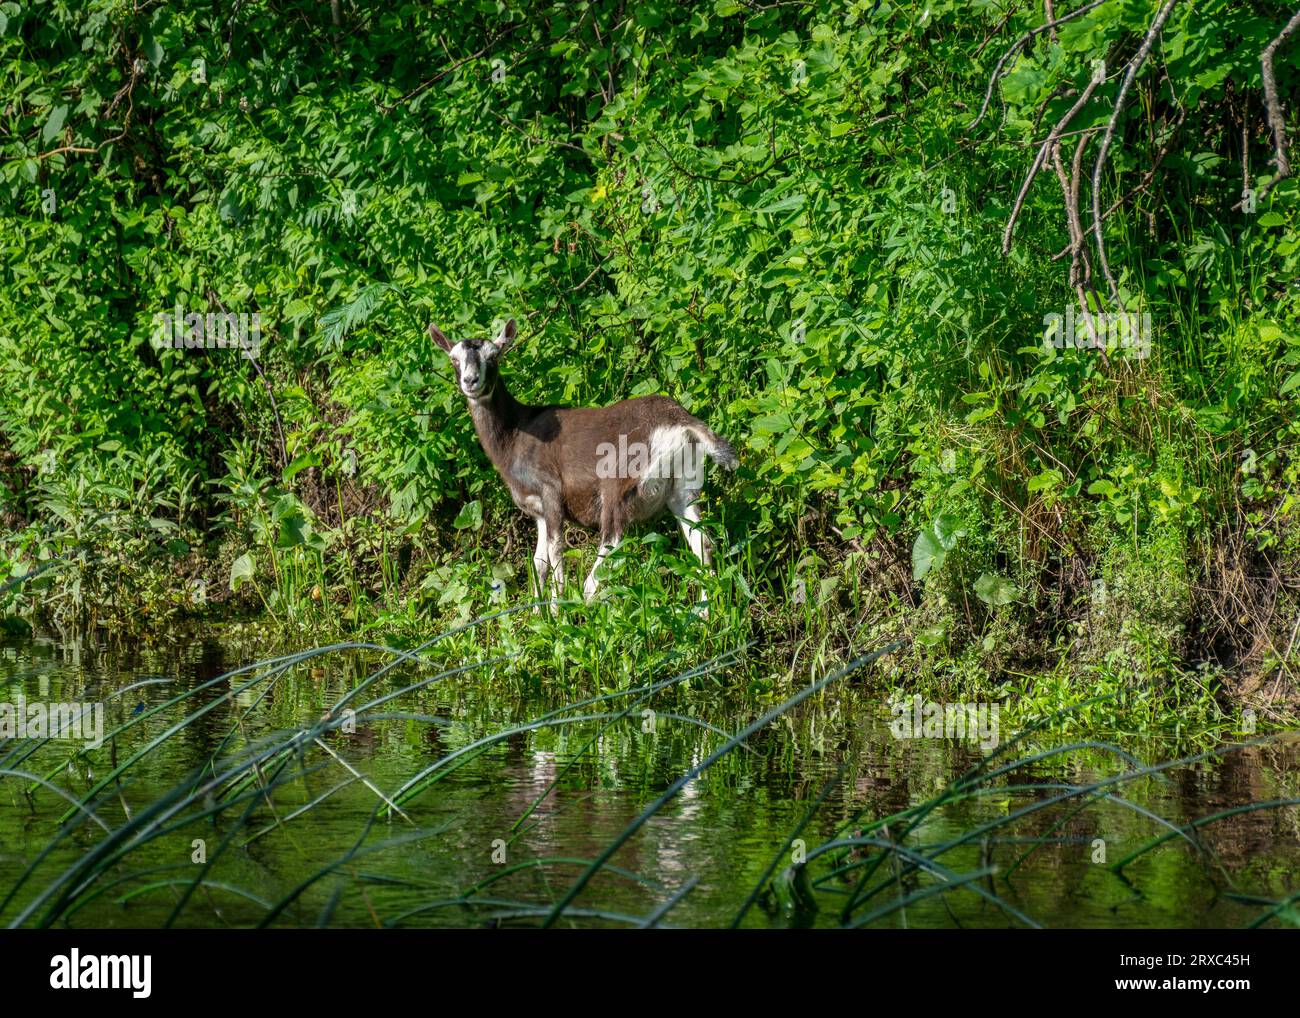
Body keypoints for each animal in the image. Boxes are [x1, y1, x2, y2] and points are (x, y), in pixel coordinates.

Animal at [430, 318, 738, 604]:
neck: (515, 434)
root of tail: (682, 421)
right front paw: (537, 618)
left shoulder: (551, 492)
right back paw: (704, 614)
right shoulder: (537, 512)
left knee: (611, 548)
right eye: (454, 359)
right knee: (703, 543)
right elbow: (538, 563)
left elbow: (556, 554)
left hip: (619, 487)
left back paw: (585, 605)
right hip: (683, 487)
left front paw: (557, 613)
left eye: (493, 357)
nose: (471, 382)